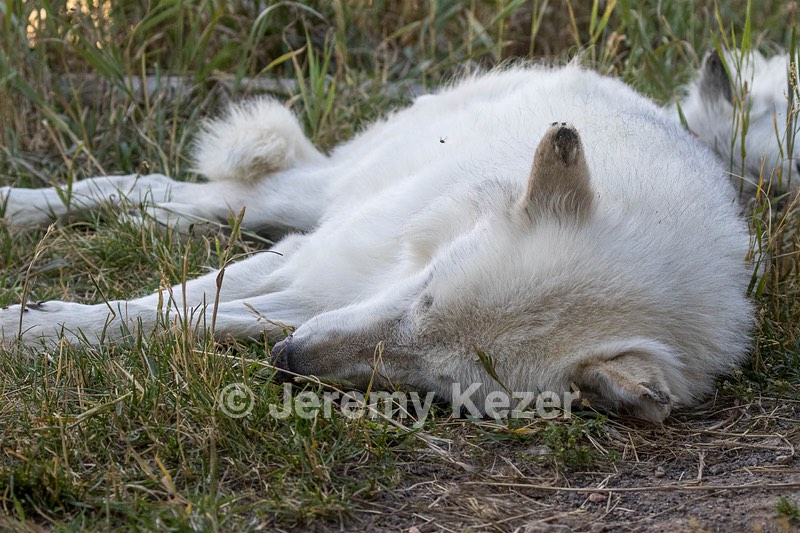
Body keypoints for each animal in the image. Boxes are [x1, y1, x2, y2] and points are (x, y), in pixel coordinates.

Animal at [0, 62, 759, 422]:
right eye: (425, 294)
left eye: (437, 382)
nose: (289, 361)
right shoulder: (313, 263)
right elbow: (156, 306)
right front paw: (28, 327)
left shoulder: (310, 296)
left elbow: (192, 318)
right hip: (317, 197)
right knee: (186, 189)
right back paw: (20, 207)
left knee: (200, 206)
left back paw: (146, 226)